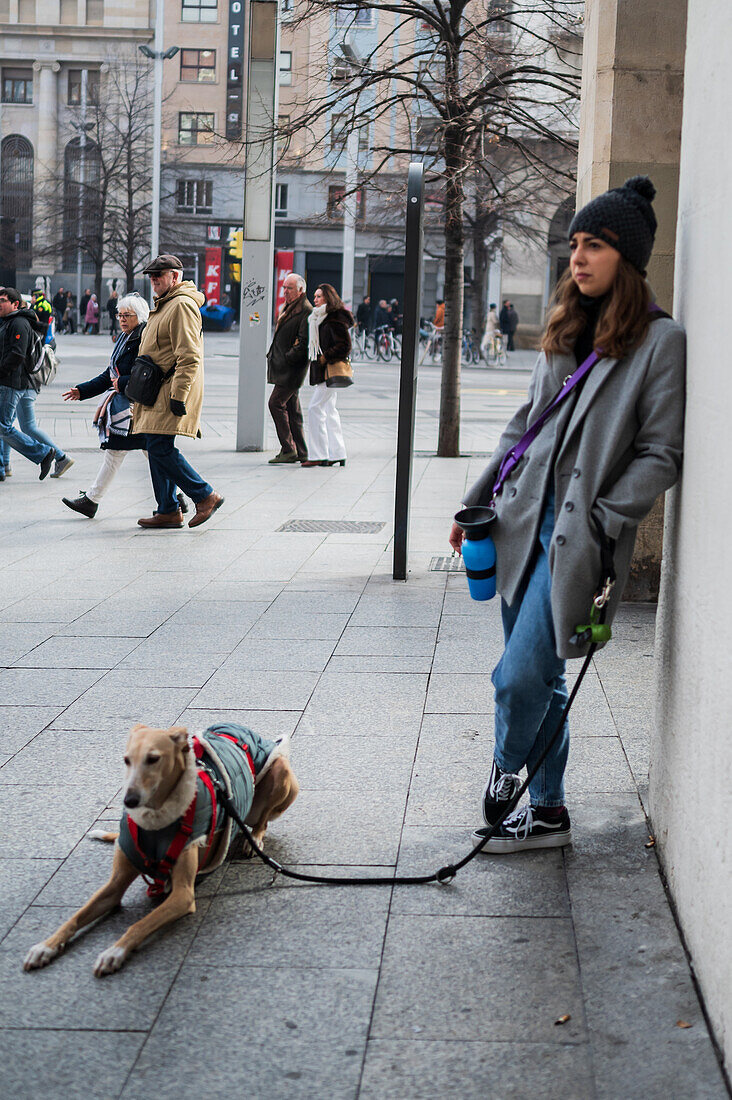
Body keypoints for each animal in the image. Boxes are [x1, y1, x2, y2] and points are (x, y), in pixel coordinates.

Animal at [23, 721, 297, 981]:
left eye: (153, 759)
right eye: (126, 760)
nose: (130, 800)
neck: (154, 823)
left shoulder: (182, 895)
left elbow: (139, 924)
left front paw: (113, 952)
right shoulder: (114, 886)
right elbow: (75, 917)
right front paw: (44, 946)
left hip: (281, 775)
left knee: (262, 821)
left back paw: (254, 839)